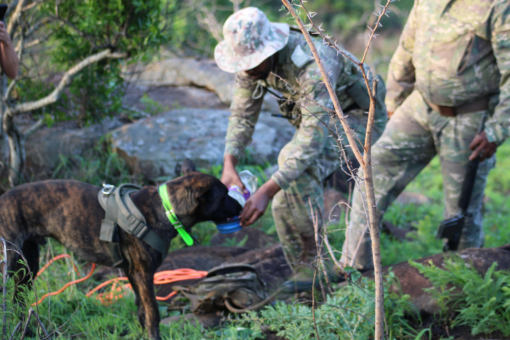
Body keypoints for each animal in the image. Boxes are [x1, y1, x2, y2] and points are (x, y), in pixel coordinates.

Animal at [0, 170, 242, 340]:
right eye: (224, 196)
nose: (241, 207)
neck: (165, 209)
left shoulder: (133, 273)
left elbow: (141, 310)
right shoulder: (144, 274)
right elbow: (153, 312)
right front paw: (154, 337)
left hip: (28, 266)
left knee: (18, 301)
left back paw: (27, 332)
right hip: (9, 262)